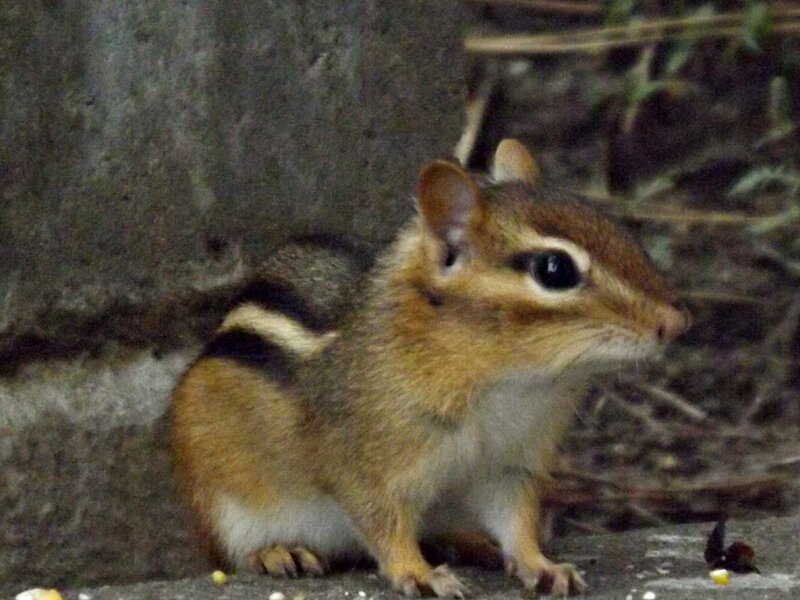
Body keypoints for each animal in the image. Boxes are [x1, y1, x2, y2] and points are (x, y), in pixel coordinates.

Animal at [170, 139, 689, 597]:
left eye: (616, 228)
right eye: (554, 269)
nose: (676, 323)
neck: (507, 382)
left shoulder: (510, 463)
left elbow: (516, 520)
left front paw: (541, 564)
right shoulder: (367, 464)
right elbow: (382, 522)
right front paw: (417, 573)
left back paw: (470, 542)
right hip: (222, 504)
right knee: (237, 554)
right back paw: (278, 552)